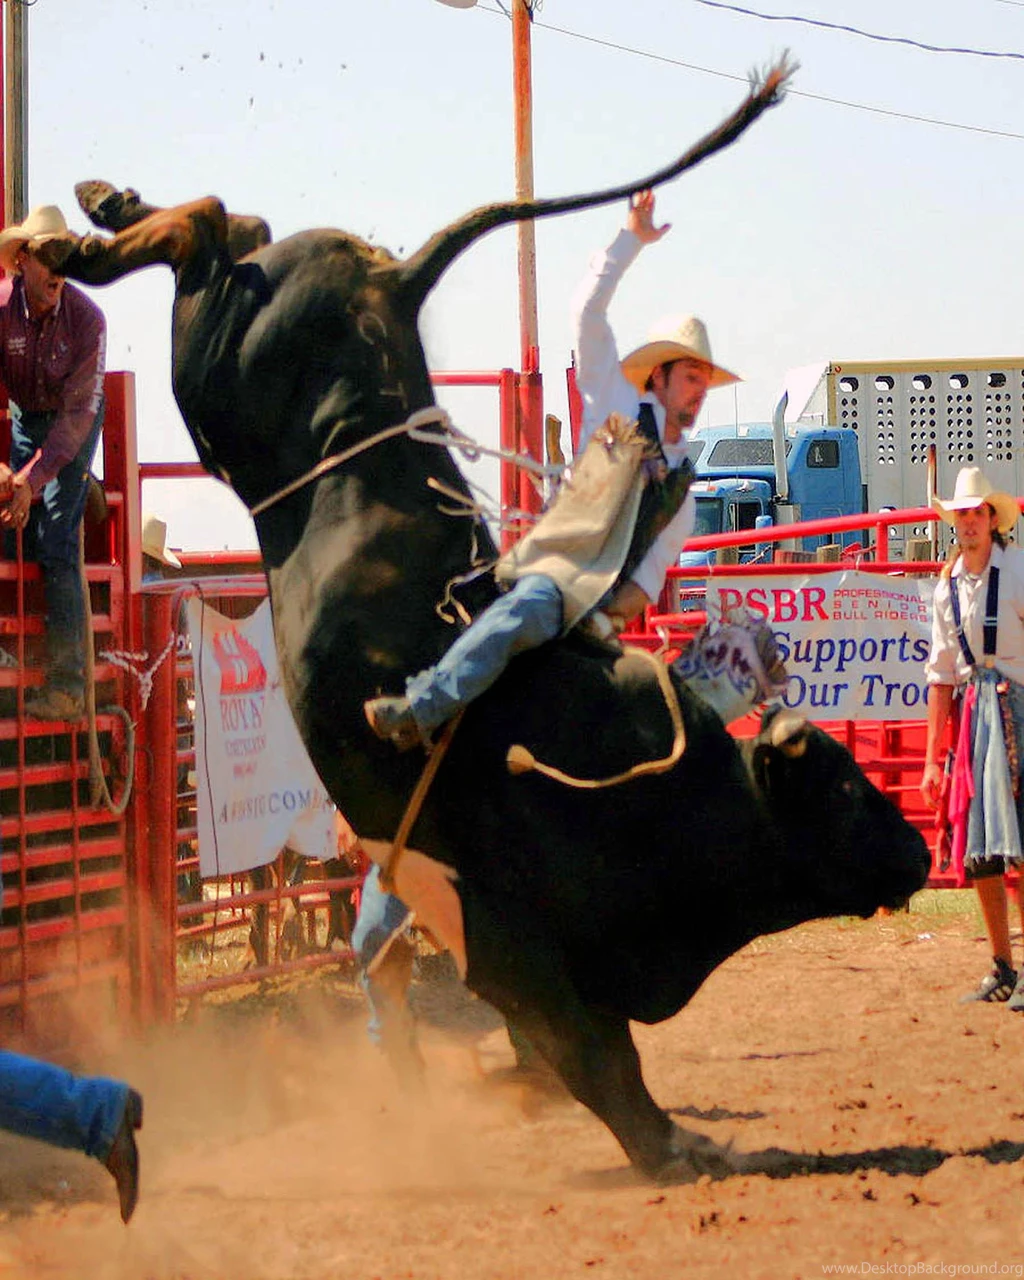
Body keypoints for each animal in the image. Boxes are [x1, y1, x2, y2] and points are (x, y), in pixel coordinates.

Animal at [47, 60, 930, 1181]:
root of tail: (394, 276)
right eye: (848, 784)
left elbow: (579, 1050)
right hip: (221, 366)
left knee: (227, 224)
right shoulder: (514, 943)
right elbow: (596, 1059)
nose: (919, 851)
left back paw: (93, 210)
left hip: (227, 373)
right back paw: (80, 228)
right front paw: (676, 1148)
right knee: (203, 230)